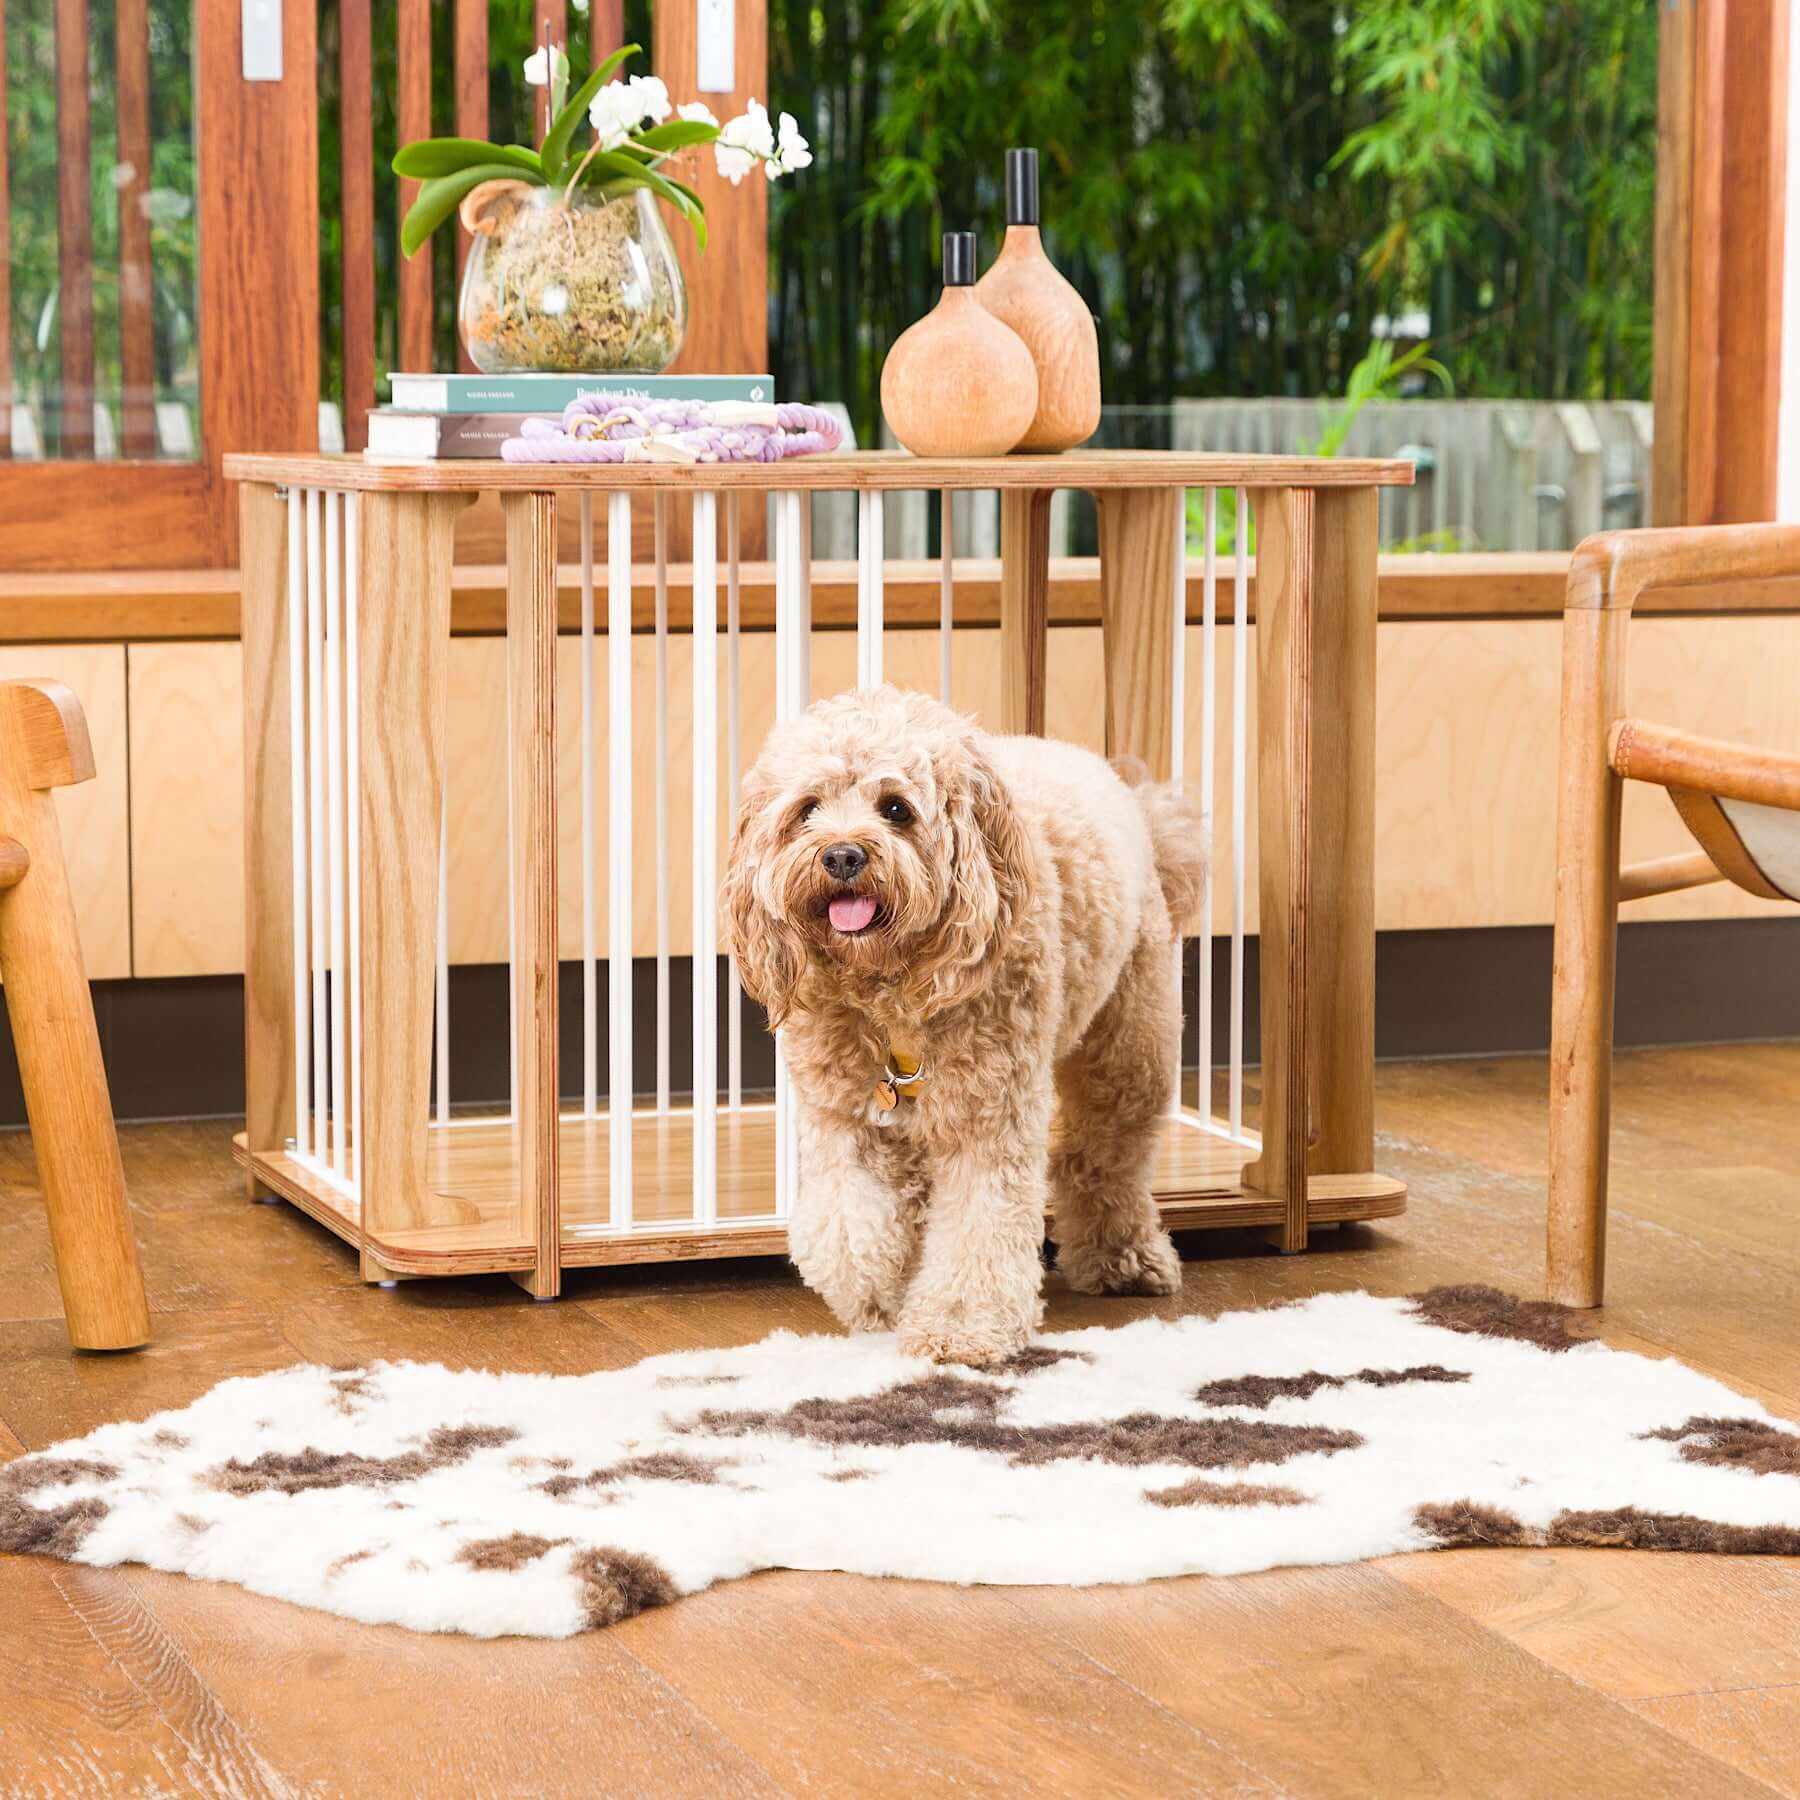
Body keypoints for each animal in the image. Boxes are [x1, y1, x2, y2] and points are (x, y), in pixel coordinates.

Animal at [720, 684, 1209, 1360]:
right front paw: (879, 1293)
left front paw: (957, 1326)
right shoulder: (844, 1117)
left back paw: (1125, 1260)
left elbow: (979, 1228)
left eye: (896, 808)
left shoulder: (990, 1114)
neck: (891, 986)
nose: (841, 854)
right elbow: (846, 1226)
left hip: (1131, 1045)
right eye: (808, 809)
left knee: (1106, 1158)